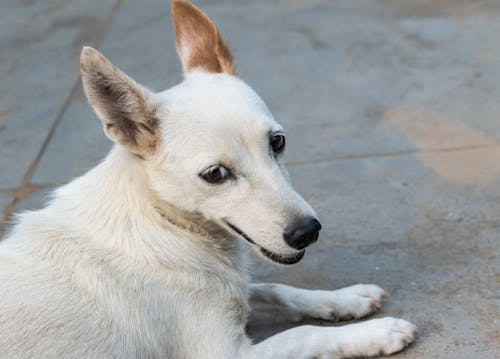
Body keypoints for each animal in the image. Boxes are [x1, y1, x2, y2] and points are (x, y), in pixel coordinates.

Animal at [0, 1, 418, 358]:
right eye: (215, 174)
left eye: (277, 142)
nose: (308, 232)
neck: (165, 221)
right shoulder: (225, 352)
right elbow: (305, 333)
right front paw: (377, 333)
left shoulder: (237, 297)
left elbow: (276, 289)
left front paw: (345, 299)